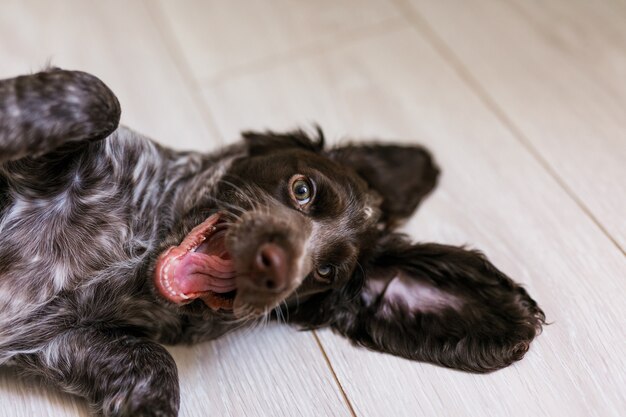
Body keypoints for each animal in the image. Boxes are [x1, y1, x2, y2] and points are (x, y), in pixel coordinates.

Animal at [0, 69, 540, 416]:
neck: (133, 248)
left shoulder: (65, 346)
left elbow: (160, 369)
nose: (275, 269)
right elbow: (99, 95)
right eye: (303, 190)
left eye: (325, 272)